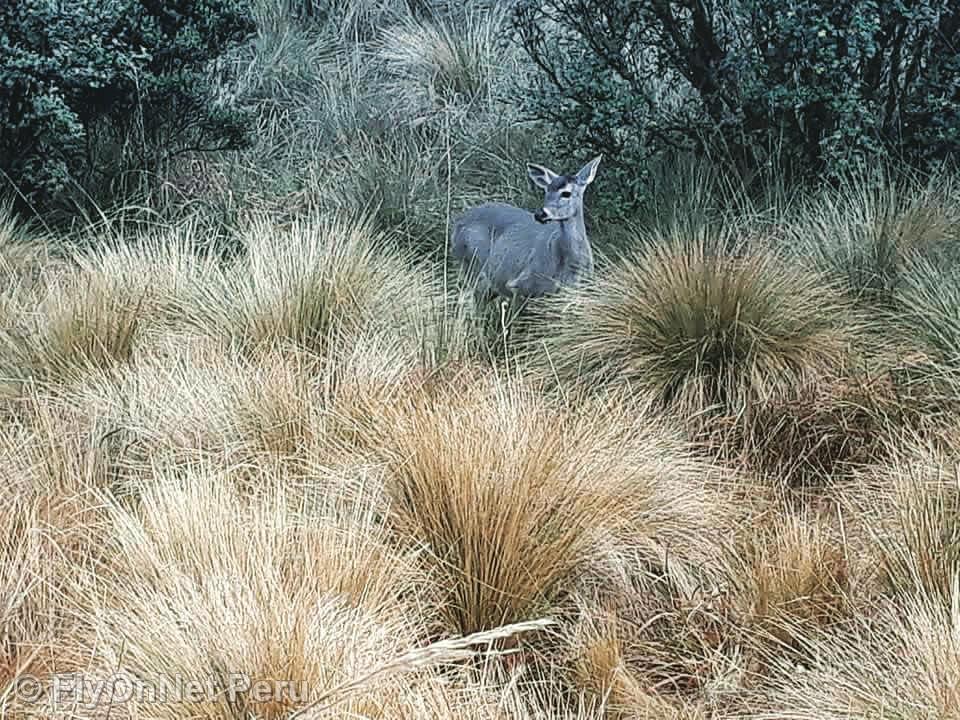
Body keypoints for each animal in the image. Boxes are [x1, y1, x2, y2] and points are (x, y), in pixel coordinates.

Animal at [450, 156, 600, 300]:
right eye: (546, 191)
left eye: (566, 193)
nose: (540, 214)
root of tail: (457, 223)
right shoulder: (520, 285)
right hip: (473, 267)